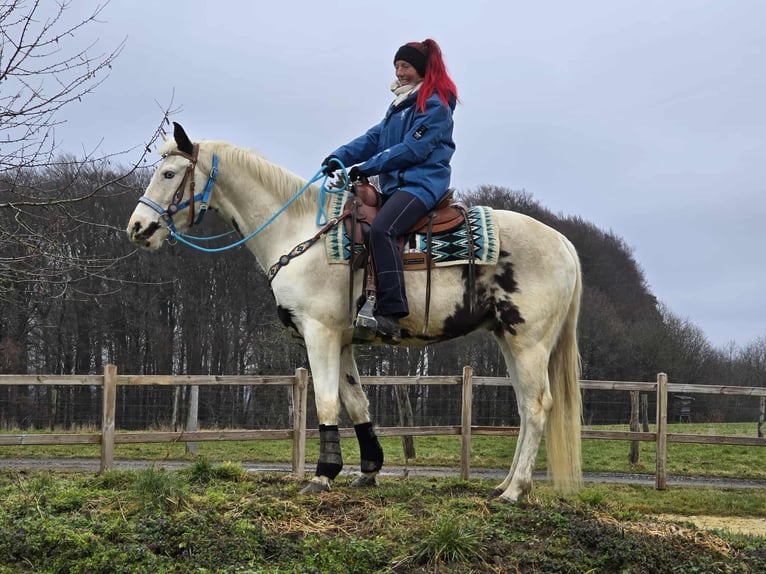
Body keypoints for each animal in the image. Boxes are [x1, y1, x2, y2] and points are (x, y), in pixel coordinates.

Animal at [126, 122, 583, 501]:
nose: (137, 228)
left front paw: (322, 475)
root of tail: (563, 242)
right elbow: (356, 402)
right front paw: (368, 470)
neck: (299, 233)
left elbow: (327, 402)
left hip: (528, 342)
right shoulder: (342, 339)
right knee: (524, 407)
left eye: (169, 174)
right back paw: (505, 485)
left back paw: (515, 491)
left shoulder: (319, 333)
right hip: (509, 340)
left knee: (537, 406)